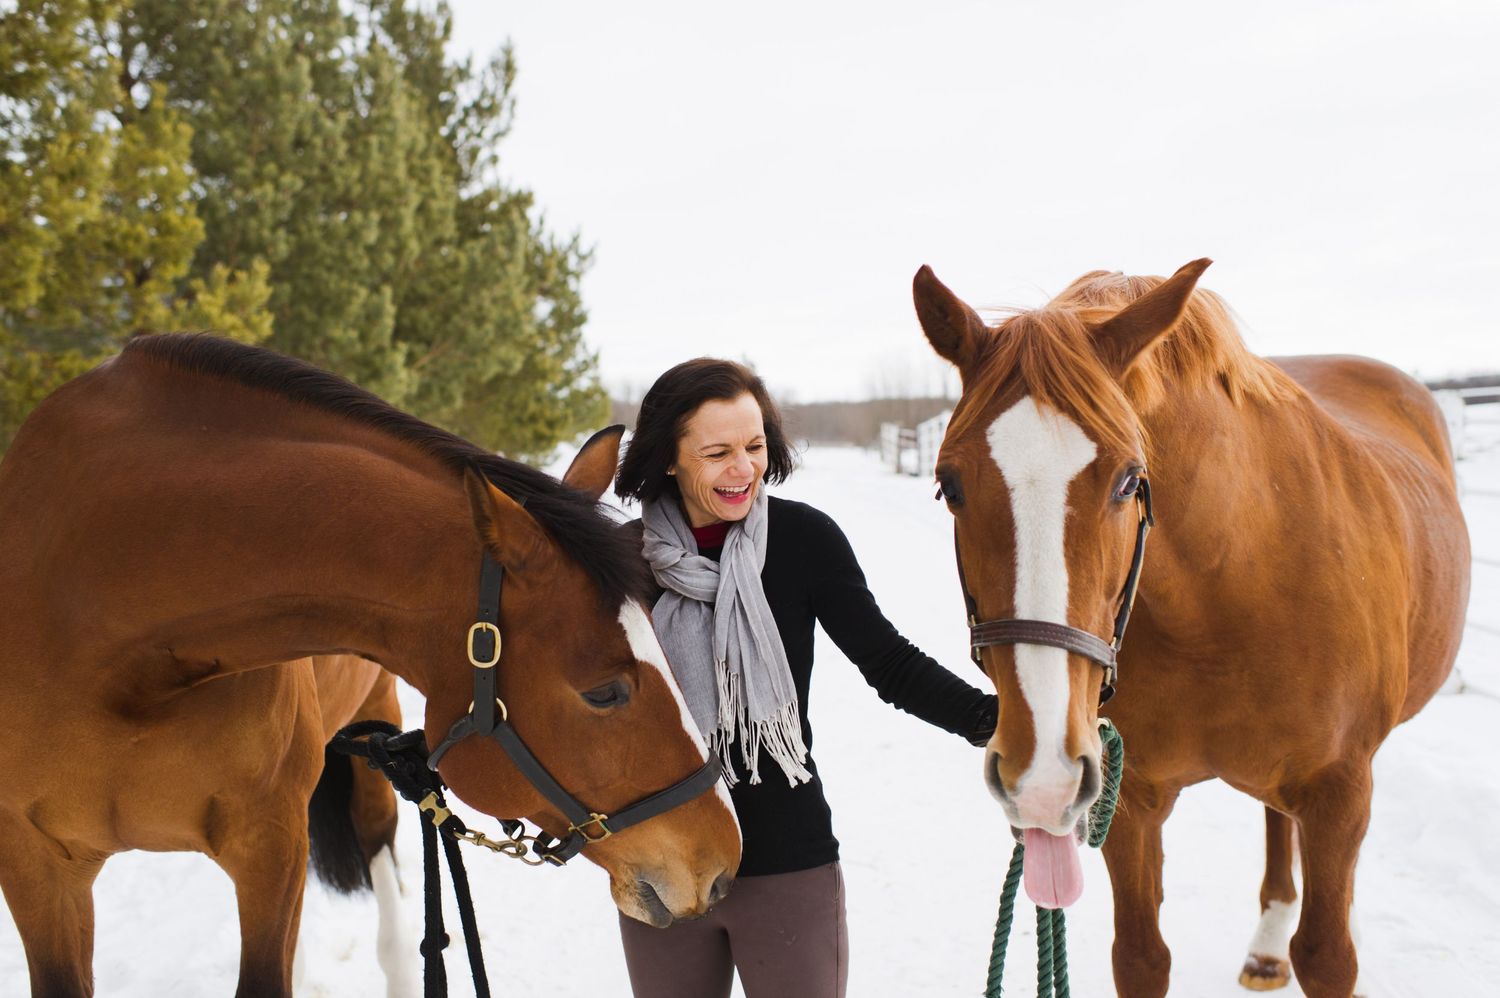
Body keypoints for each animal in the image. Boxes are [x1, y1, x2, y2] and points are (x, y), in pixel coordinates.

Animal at [912, 260, 1469, 998]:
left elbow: (1328, 956)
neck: (1228, 584)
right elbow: (1141, 956)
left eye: (1129, 480)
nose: (1041, 774)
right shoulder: (1127, 798)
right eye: (948, 485)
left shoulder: (1340, 793)